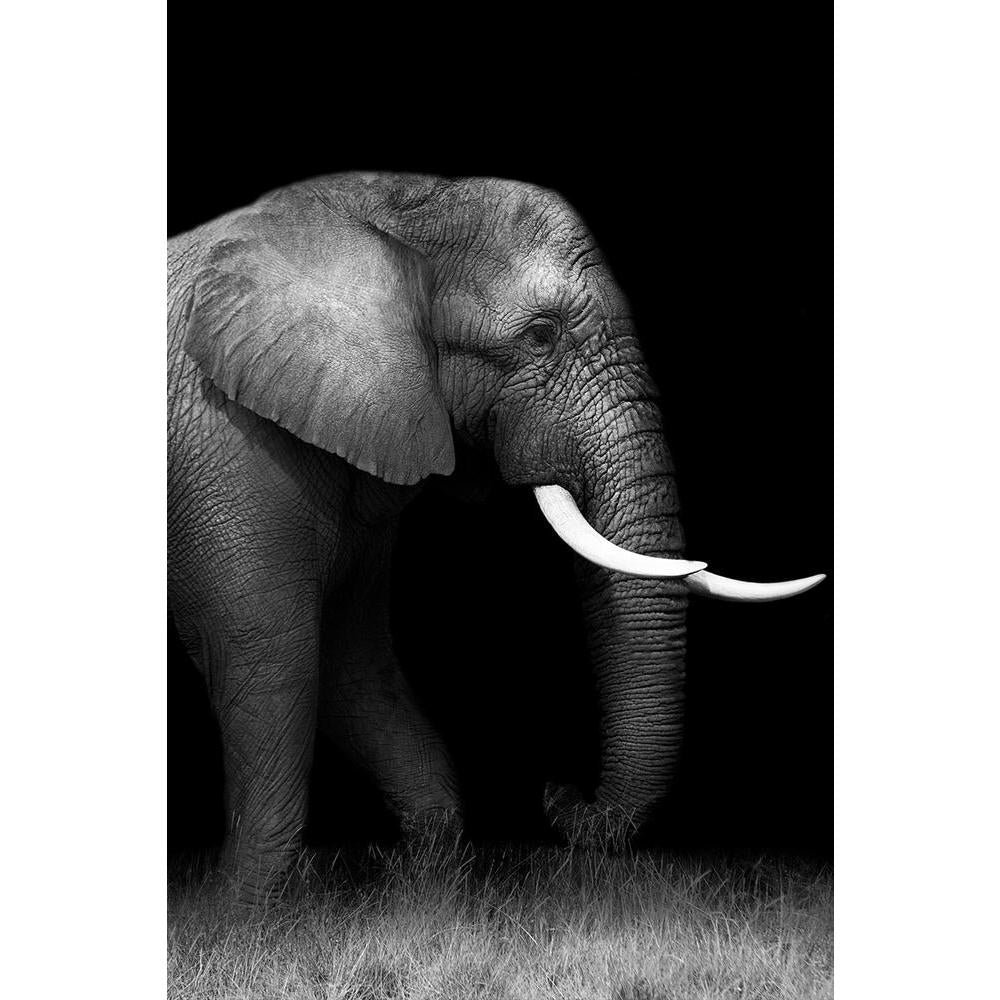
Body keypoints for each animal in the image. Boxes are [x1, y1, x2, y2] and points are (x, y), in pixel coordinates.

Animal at [167, 172, 823, 902]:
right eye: (541, 335)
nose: (559, 790)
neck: (385, 205)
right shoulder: (231, 444)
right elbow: (272, 650)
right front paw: (244, 911)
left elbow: (351, 654)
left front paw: (423, 882)